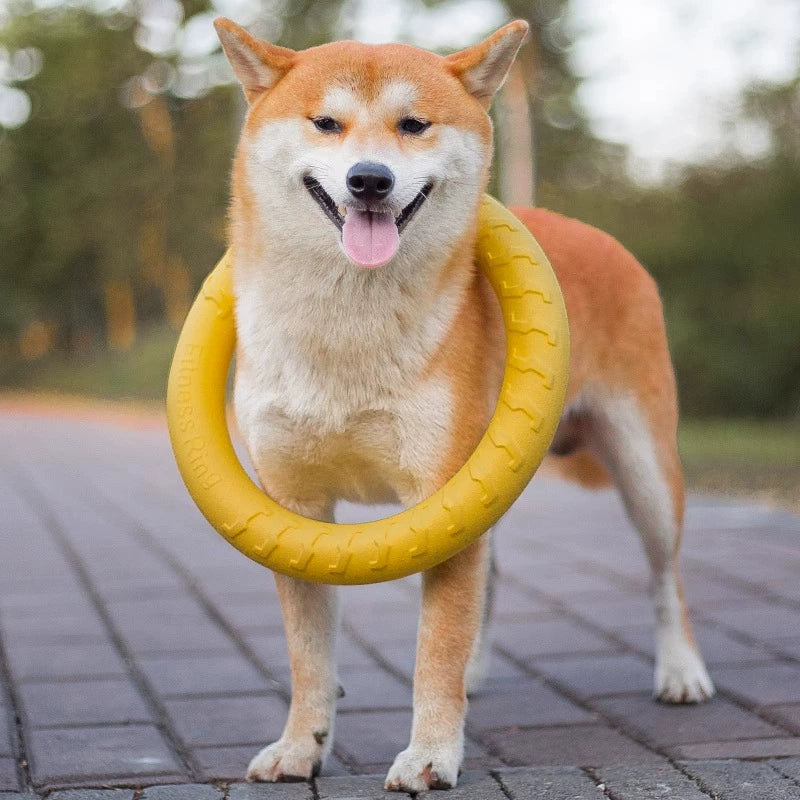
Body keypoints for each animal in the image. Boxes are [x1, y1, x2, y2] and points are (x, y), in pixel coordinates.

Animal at [216, 18, 716, 792]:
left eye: (414, 124)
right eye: (326, 123)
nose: (369, 178)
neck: (344, 330)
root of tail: (597, 233)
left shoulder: (441, 487)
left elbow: (436, 646)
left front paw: (429, 753)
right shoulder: (293, 507)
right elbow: (310, 654)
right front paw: (301, 745)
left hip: (644, 469)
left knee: (667, 579)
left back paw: (682, 671)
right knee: (491, 580)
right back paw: (478, 674)